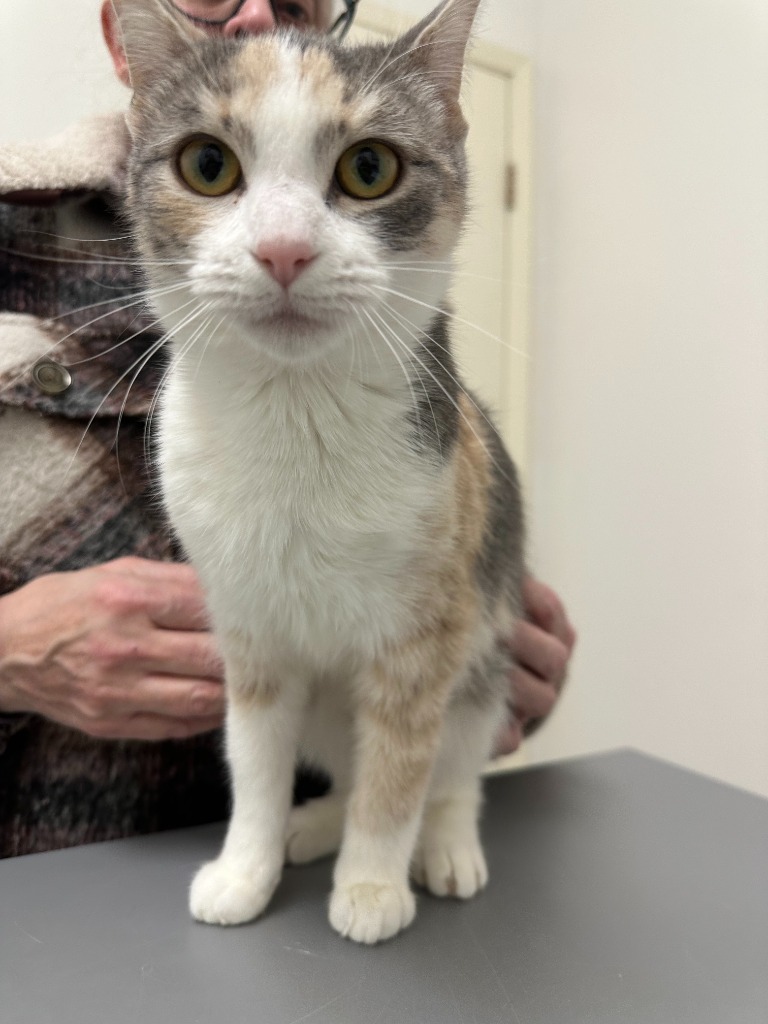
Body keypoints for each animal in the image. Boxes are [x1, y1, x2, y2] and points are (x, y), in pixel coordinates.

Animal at [114, 0, 528, 942]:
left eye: (369, 168)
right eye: (207, 165)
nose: (283, 250)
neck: (294, 417)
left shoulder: (426, 636)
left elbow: (400, 771)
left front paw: (372, 887)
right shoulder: (251, 637)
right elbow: (255, 762)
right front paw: (247, 868)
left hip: (484, 666)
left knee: (450, 769)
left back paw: (445, 845)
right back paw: (314, 825)